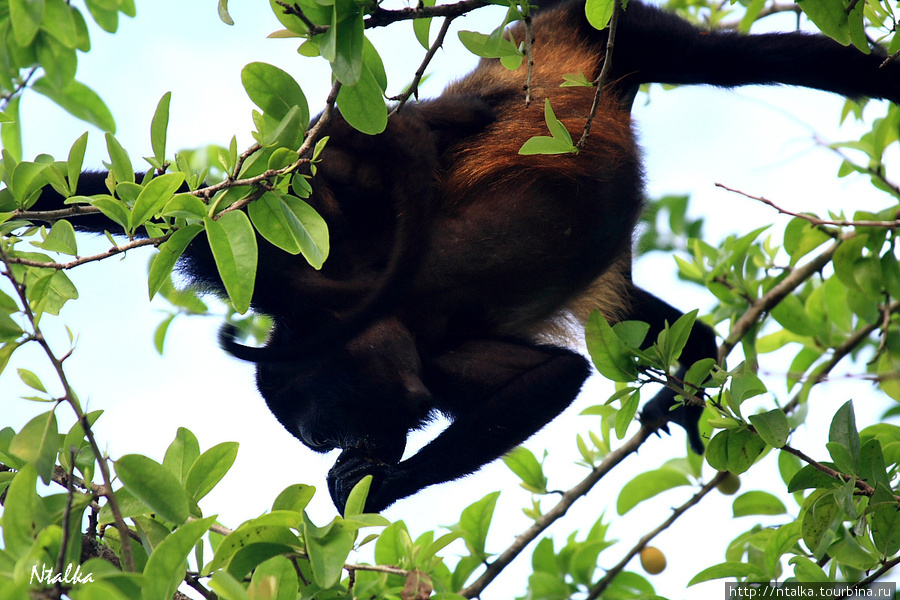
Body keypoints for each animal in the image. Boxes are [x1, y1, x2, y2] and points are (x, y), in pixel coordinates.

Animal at [17, 0, 900, 510]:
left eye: (323, 425)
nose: (342, 448)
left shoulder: (385, 324)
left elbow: (555, 379)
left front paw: (378, 487)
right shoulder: (334, 297)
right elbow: (194, 212)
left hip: (616, 27)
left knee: (747, 62)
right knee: (633, 312)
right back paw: (695, 369)